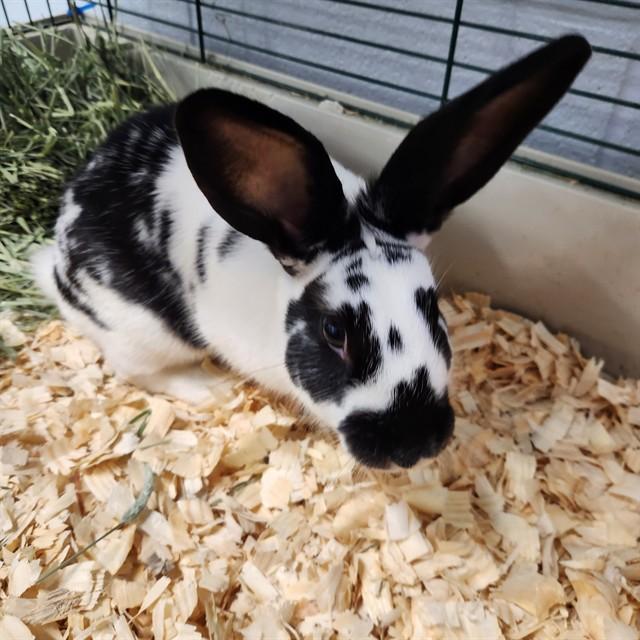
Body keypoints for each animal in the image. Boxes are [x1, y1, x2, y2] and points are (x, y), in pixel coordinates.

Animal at [32, 35, 590, 469]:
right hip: (141, 332)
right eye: (334, 331)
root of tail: (54, 263)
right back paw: (208, 390)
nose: (413, 444)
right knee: (138, 370)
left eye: (432, 308)